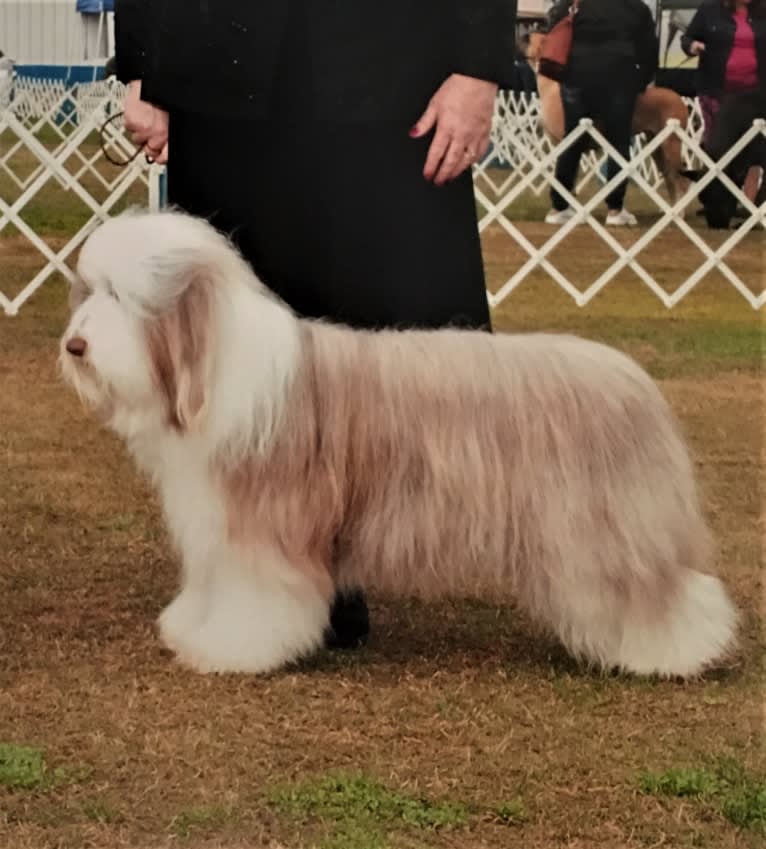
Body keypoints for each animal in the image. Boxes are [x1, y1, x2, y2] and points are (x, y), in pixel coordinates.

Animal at [61, 210, 736, 676]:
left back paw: (676, 653)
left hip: (602, 533)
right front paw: (191, 630)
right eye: (91, 291)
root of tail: (634, 380)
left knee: (656, 591)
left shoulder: (263, 526)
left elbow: (257, 596)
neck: (214, 366)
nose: (75, 346)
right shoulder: (215, 524)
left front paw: (233, 648)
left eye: (124, 297)